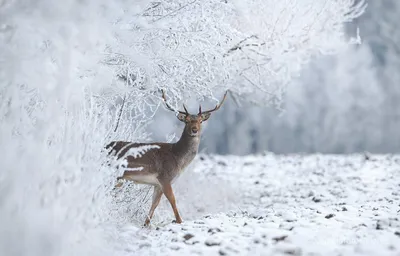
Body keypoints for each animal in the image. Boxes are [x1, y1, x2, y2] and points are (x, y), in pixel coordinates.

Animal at [105, 90, 228, 226]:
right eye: (187, 120)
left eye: (201, 121)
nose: (194, 130)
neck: (178, 157)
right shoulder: (165, 178)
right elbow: (173, 201)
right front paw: (179, 221)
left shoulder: (157, 184)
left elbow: (154, 204)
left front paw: (146, 225)